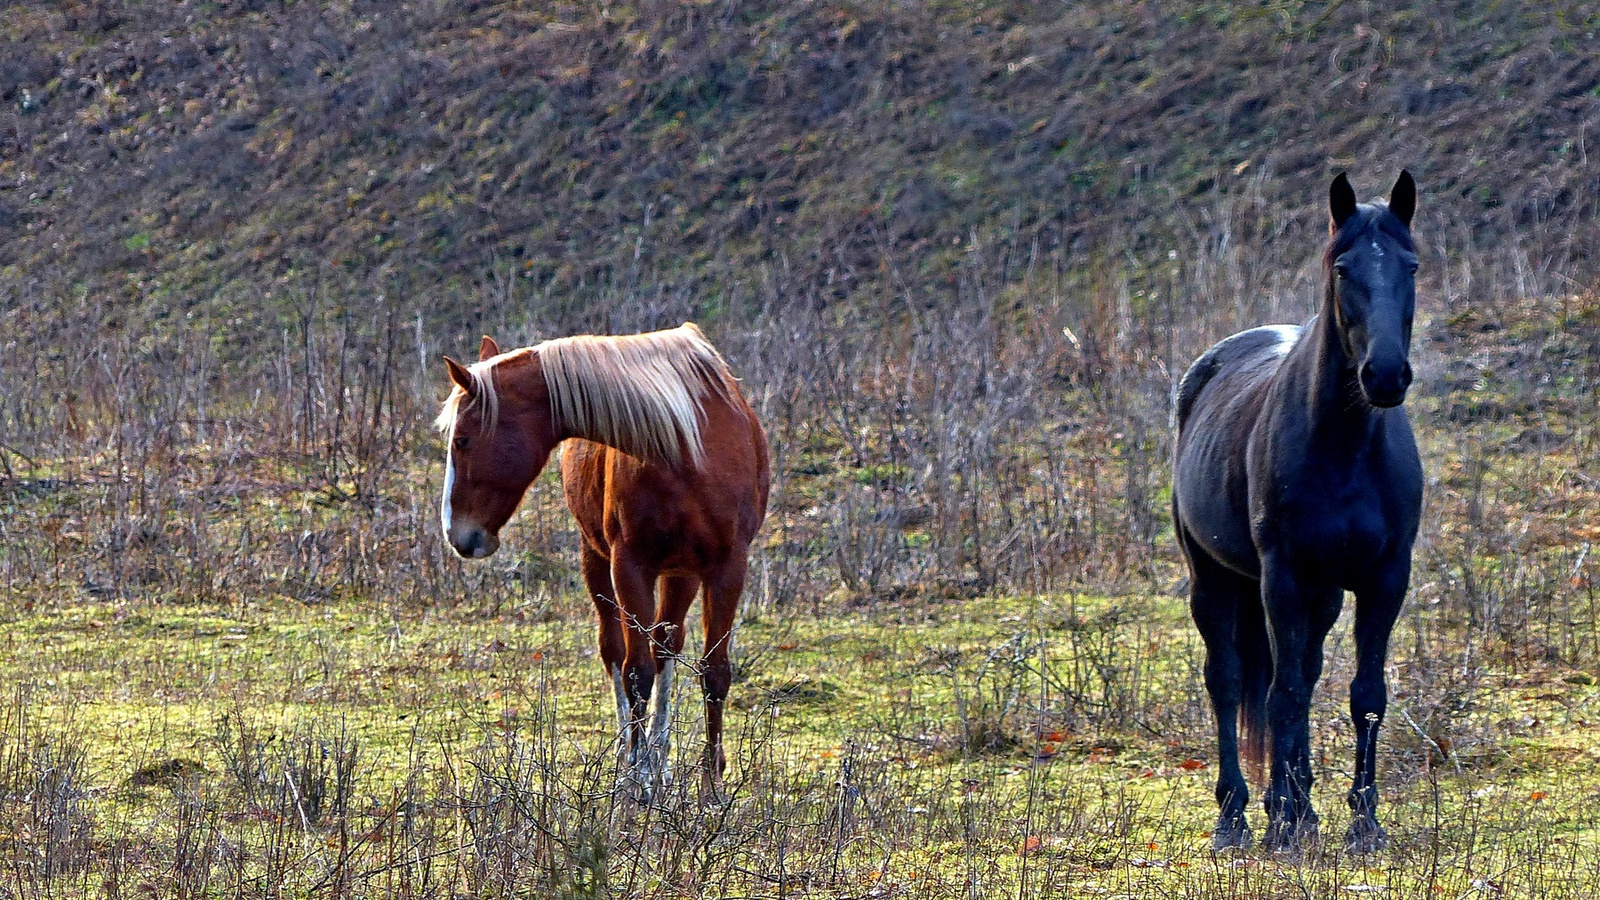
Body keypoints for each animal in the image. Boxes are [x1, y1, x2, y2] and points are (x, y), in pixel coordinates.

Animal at [432, 323, 768, 797]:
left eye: (462, 440)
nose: (457, 535)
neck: (685, 445)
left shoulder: (728, 566)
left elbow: (713, 673)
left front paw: (711, 785)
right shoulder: (628, 565)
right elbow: (635, 672)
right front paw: (636, 779)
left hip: (681, 573)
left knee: (666, 646)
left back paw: (662, 762)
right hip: (597, 561)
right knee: (616, 651)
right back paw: (635, 759)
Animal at [1177, 171, 1427, 851]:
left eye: (1411, 266)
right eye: (1342, 269)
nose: (1385, 375)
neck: (1343, 447)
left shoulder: (1384, 579)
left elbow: (1364, 694)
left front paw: (1362, 824)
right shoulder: (1282, 578)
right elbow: (1281, 694)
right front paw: (1281, 826)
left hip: (1324, 594)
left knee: (1304, 676)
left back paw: (1299, 807)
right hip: (1214, 578)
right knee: (1230, 680)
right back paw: (1238, 817)